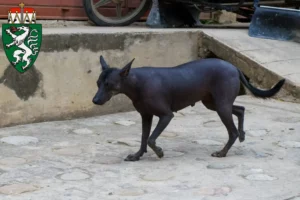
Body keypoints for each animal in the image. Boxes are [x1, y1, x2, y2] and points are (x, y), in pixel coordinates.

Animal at [92, 55, 284, 162]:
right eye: (98, 83)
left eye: (109, 85)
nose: (94, 100)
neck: (136, 82)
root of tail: (233, 66)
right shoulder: (146, 116)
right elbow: (143, 138)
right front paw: (137, 155)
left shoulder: (166, 115)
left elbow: (151, 139)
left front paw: (159, 152)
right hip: (214, 104)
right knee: (241, 109)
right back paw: (243, 134)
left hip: (221, 107)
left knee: (233, 131)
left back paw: (223, 152)